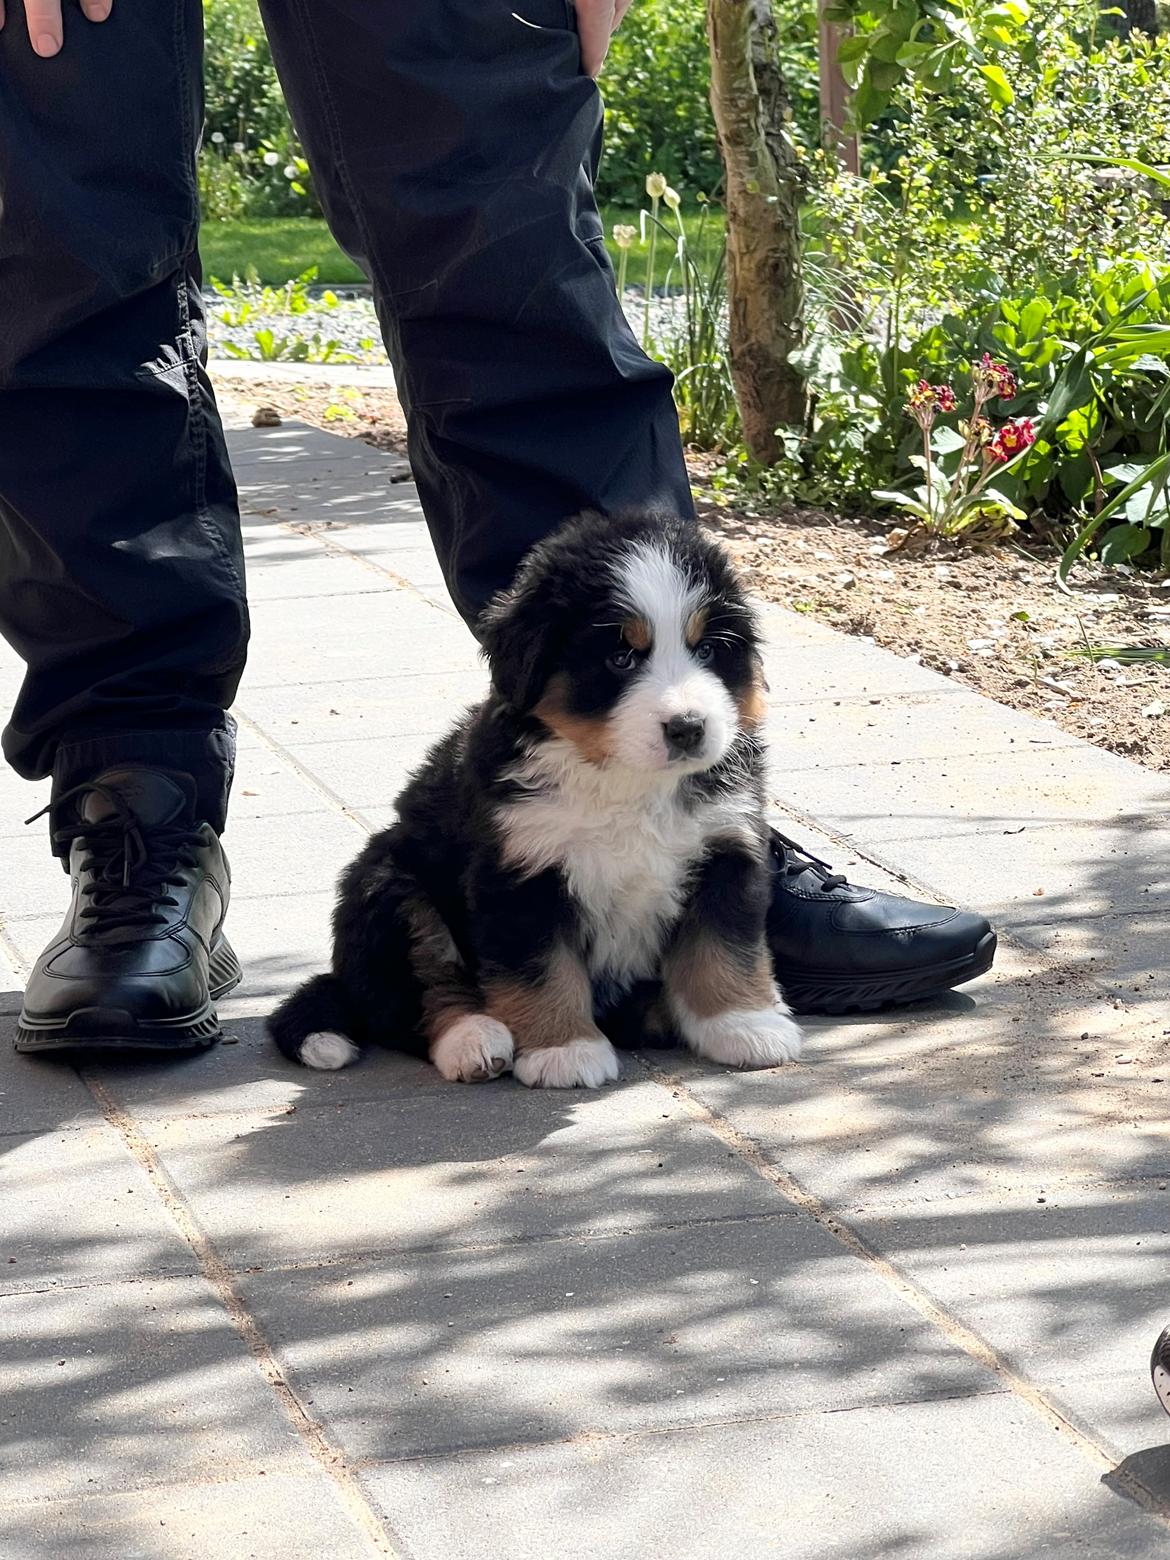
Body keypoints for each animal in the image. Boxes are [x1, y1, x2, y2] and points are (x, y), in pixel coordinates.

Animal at [269, 511, 804, 1085]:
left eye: (706, 651)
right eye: (620, 659)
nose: (687, 727)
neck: (624, 779)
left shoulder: (725, 847)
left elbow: (724, 947)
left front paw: (744, 1024)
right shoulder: (520, 871)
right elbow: (542, 969)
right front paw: (563, 1050)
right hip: (392, 886)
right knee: (419, 993)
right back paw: (475, 1040)